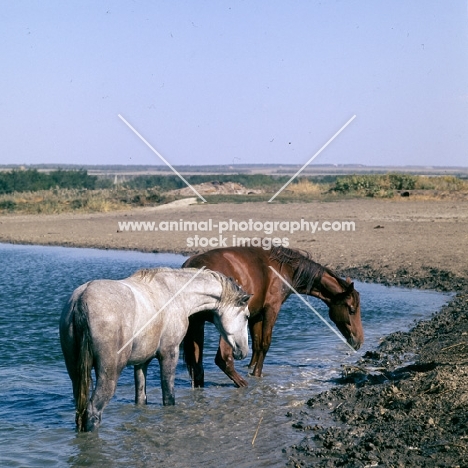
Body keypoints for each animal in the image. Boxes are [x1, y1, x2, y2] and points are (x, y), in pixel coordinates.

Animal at [59, 266, 250, 432]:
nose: (243, 351)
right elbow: (168, 396)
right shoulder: (169, 354)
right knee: (93, 411)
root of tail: (82, 299)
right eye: (247, 316)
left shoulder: (142, 362)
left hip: (77, 375)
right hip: (109, 374)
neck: (174, 293)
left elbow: (141, 398)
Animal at [182, 245, 362, 388]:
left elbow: (256, 344)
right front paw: (257, 375)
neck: (283, 268)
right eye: (352, 309)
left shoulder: (256, 315)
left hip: (197, 324)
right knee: (223, 358)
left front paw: (251, 369)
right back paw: (242, 384)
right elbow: (265, 343)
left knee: (198, 368)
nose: (359, 341)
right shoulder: (271, 309)